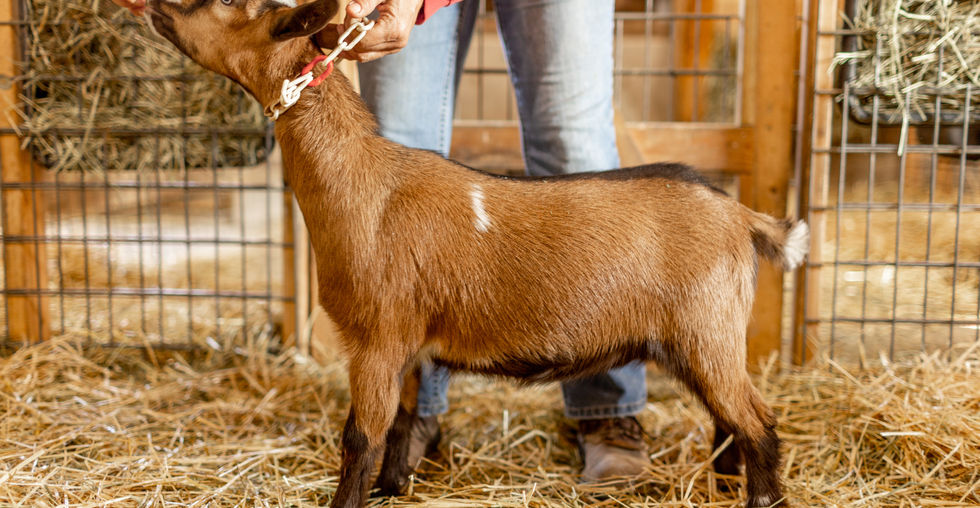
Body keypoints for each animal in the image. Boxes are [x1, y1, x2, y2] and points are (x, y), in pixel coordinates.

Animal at [142, 0, 806, 506]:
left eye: (235, 2)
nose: (159, 5)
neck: (365, 185)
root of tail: (743, 217)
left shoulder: (376, 339)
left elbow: (360, 437)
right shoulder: (408, 344)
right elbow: (402, 423)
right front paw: (391, 488)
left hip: (707, 331)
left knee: (759, 423)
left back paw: (760, 496)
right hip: (700, 339)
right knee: (728, 421)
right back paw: (724, 480)